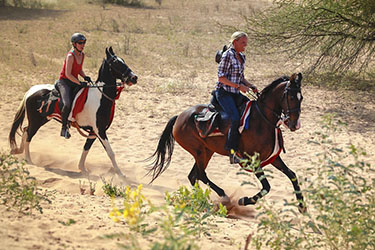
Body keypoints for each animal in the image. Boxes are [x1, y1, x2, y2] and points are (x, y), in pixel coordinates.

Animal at [8, 46, 137, 176]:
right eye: (116, 62)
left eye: (123, 60)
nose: (134, 77)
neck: (100, 96)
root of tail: (30, 91)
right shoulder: (99, 130)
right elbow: (110, 152)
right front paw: (121, 174)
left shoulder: (93, 132)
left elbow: (86, 148)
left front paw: (82, 168)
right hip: (36, 121)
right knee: (29, 135)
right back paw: (29, 159)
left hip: (42, 119)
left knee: (25, 131)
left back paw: (21, 152)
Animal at [148, 73, 306, 212]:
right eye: (292, 97)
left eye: (301, 98)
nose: (295, 125)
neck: (262, 119)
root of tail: (179, 117)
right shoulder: (253, 161)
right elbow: (266, 187)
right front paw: (244, 200)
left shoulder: (273, 157)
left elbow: (292, 175)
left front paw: (302, 206)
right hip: (198, 151)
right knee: (201, 175)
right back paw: (222, 196)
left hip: (207, 151)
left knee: (193, 176)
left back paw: (202, 200)